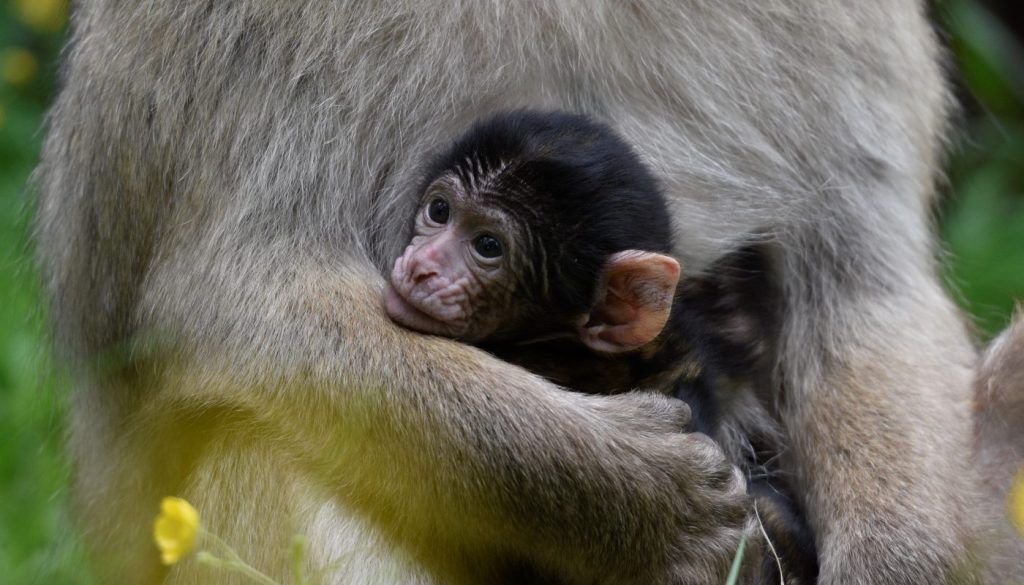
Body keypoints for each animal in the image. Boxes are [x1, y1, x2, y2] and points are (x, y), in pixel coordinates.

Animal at [32, 1, 1023, 585]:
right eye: (438, 214)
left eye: (487, 244)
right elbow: (234, 306)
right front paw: (633, 498)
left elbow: (860, 285)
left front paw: (899, 560)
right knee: (269, 437)